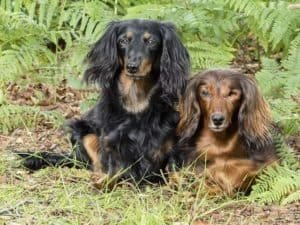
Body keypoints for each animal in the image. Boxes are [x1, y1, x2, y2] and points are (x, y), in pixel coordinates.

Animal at [19, 18, 190, 186]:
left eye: (151, 41)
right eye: (123, 41)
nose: (132, 67)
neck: (136, 100)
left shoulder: (168, 143)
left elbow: (173, 168)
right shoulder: (111, 142)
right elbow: (114, 169)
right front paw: (104, 183)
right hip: (84, 132)